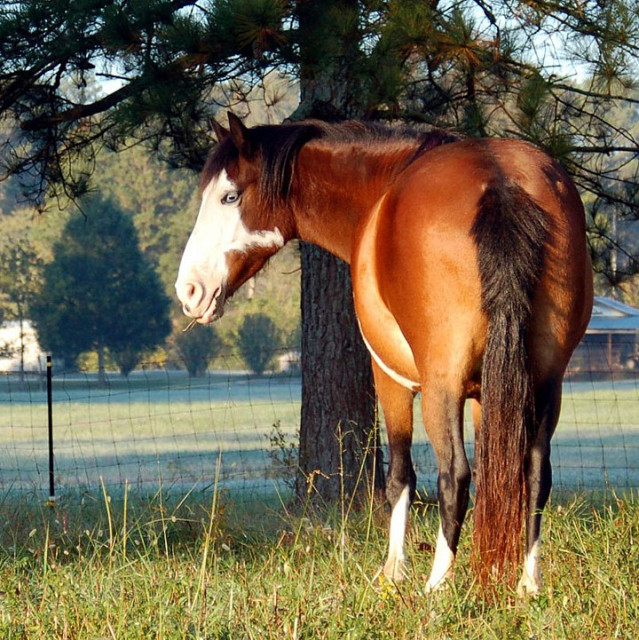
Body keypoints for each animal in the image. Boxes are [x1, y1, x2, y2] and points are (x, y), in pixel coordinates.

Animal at [176, 111, 596, 596]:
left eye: (230, 196)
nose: (189, 290)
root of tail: (499, 180)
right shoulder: (487, 394)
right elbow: (500, 471)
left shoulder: (389, 377)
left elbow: (400, 476)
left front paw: (394, 569)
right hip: (545, 382)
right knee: (534, 471)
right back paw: (529, 583)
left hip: (440, 387)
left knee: (454, 475)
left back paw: (437, 584)